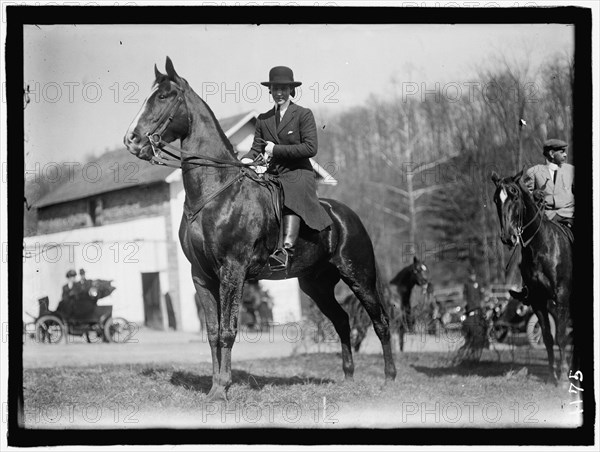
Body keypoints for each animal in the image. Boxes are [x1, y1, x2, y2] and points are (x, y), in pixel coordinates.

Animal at [122, 58, 396, 400]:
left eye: (163, 97)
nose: (132, 140)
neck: (215, 193)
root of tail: (348, 215)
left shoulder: (233, 271)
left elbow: (228, 331)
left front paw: (223, 389)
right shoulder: (201, 276)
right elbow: (212, 332)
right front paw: (214, 388)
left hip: (359, 276)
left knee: (380, 321)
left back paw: (389, 379)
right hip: (315, 285)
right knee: (342, 321)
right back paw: (348, 378)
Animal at [492, 170, 572, 382]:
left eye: (515, 195)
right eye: (496, 199)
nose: (508, 237)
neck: (541, 246)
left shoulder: (562, 297)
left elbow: (561, 336)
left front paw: (563, 375)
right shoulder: (538, 300)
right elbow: (548, 337)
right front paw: (553, 375)